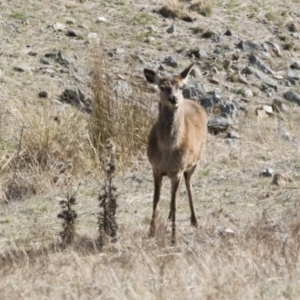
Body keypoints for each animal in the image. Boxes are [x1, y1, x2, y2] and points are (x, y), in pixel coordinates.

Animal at [144, 62, 207, 244]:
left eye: (180, 87)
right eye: (162, 87)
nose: (174, 99)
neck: (167, 150)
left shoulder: (178, 169)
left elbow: (175, 203)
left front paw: (174, 238)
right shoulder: (155, 167)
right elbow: (156, 199)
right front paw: (151, 232)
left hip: (194, 162)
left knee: (189, 184)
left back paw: (194, 220)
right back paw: (169, 217)